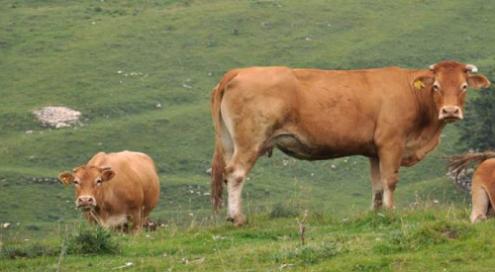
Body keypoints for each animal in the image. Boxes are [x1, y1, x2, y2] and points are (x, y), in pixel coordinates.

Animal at [211, 60, 490, 226]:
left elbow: (377, 185)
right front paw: (391, 212)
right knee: (235, 173)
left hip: (230, 142)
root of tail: (240, 71)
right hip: (250, 140)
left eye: (464, 86)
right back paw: (237, 217)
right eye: (436, 86)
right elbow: (390, 180)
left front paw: (376, 212)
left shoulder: (374, 150)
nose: (450, 111)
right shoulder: (391, 142)